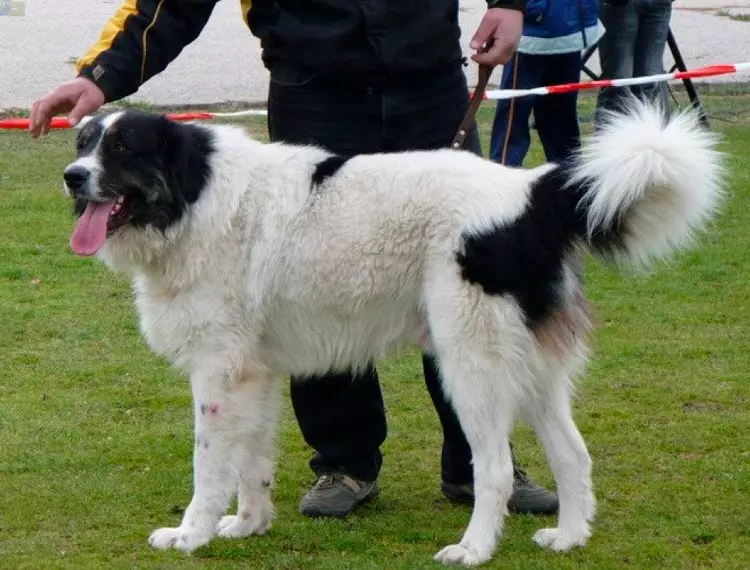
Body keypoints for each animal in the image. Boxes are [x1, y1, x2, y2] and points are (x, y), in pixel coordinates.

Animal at [64, 101, 728, 564]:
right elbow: (252, 461)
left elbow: (208, 467)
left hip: (471, 367)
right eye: (84, 142)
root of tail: (531, 191)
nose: (71, 176)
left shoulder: (219, 374)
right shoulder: (252, 374)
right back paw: (568, 537)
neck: (195, 198)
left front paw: (190, 535)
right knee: (573, 453)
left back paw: (474, 550)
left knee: (493, 470)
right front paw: (248, 525)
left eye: (122, 147)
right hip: (531, 370)